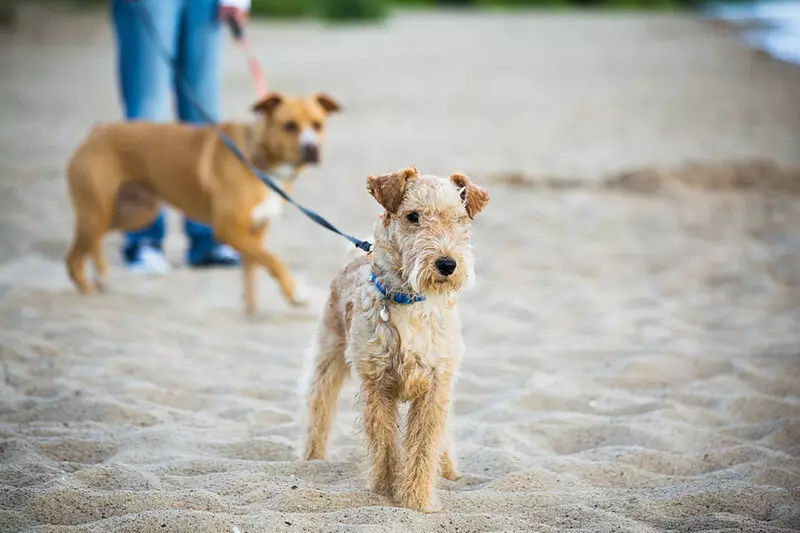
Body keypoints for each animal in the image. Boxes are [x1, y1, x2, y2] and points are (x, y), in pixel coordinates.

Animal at [67, 92, 342, 314]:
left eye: (318, 124)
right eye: (289, 126)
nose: (312, 148)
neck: (259, 160)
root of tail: (95, 131)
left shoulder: (255, 231)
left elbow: (252, 269)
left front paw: (251, 309)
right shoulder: (229, 230)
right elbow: (273, 260)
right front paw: (295, 294)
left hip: (132, 213)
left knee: (94, 242)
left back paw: (101, 278)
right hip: (97, 213)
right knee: (73, 256)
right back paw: (85, 289)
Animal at [300, 166, 488, 512]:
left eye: (459, 218)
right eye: (413, 216)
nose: (447, 264)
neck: (410, 301)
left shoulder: (435, 387)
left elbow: (424, 445)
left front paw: (417, 500)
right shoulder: (377, 386)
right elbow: (385, 445)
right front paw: (387, 492)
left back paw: (449, 471)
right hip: (327, 357)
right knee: (318, 407)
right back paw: (311, 459)